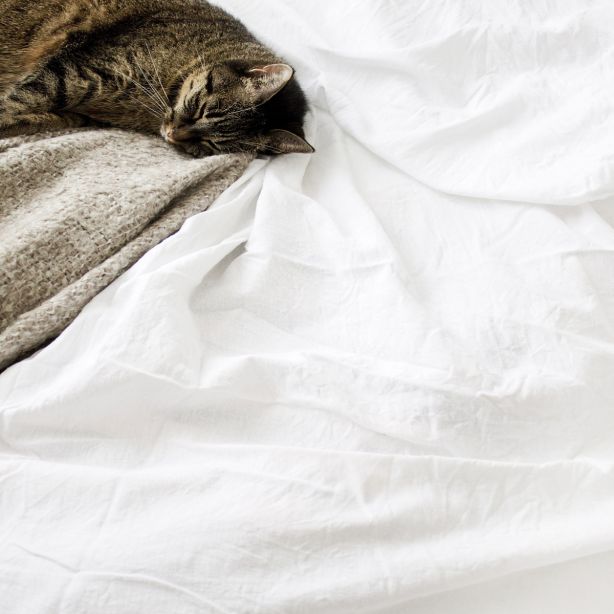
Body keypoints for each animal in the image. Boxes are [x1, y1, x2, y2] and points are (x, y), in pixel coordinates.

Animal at [0, 0, 314, 157]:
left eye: (212, 145)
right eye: (200, 109)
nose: (173, 134)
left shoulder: (74, 105)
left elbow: (30, 115)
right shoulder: (78, 72)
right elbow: (17, 102)